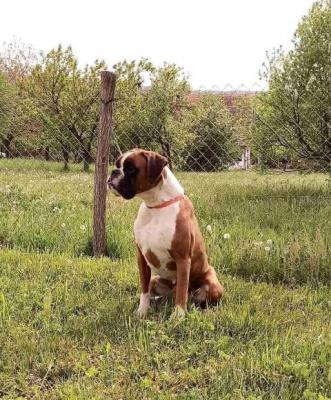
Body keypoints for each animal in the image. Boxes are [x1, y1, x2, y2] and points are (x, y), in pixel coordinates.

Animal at [107, 148, 224, 318]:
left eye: (130, 168)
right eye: (117, 165)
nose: (114, 172)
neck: (156, 206)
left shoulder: (183, 260)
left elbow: (182, 290)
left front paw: (178, 316)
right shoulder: (141, 258)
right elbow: (144, 288)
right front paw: (143, 310)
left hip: (213, 284)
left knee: (194, 297)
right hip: (156, 280)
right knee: (159, 292)